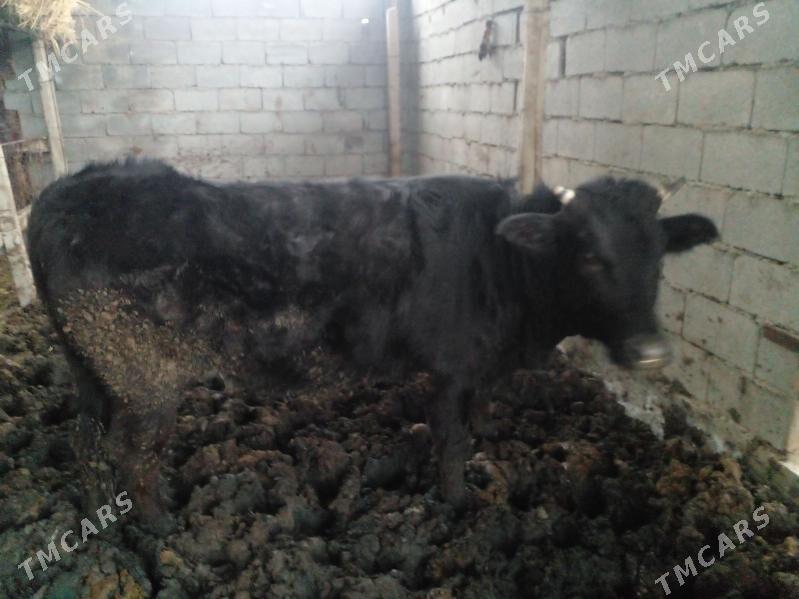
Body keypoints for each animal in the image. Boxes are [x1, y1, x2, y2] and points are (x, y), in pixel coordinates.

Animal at [27, 159, 718, 531]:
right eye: (589, 255)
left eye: (659, 255)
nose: (652, 353)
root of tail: (64, 190)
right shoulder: (451, 368)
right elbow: (452, 442)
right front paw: (458, 503)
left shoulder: (482, 369)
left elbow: (479, 424)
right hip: (141, 374)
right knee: (130, 451)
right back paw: (157, 524)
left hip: (91, 368)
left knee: (84, 441)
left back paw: (98, 514)